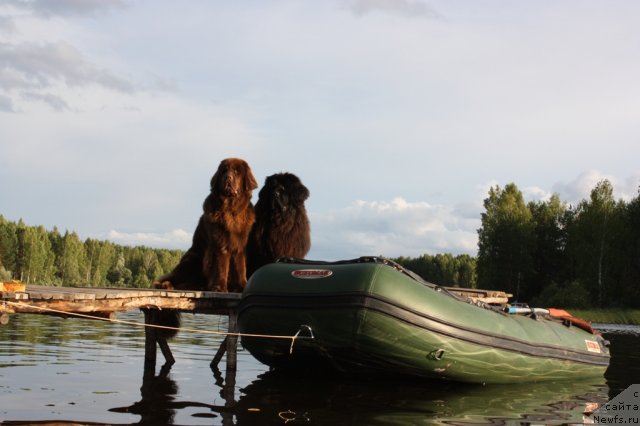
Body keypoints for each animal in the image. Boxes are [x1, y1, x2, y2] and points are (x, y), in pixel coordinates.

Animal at [156, 158, 258, 294]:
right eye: (224, 171)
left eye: (237, 171)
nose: (228, 177)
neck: (231, 210)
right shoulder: (220, 243)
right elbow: (221, 266)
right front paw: (219, 287)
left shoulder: (240, 245)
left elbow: (240, 267)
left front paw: (242, 286)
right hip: (191, 259)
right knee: (172, 278)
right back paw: (165, 285)